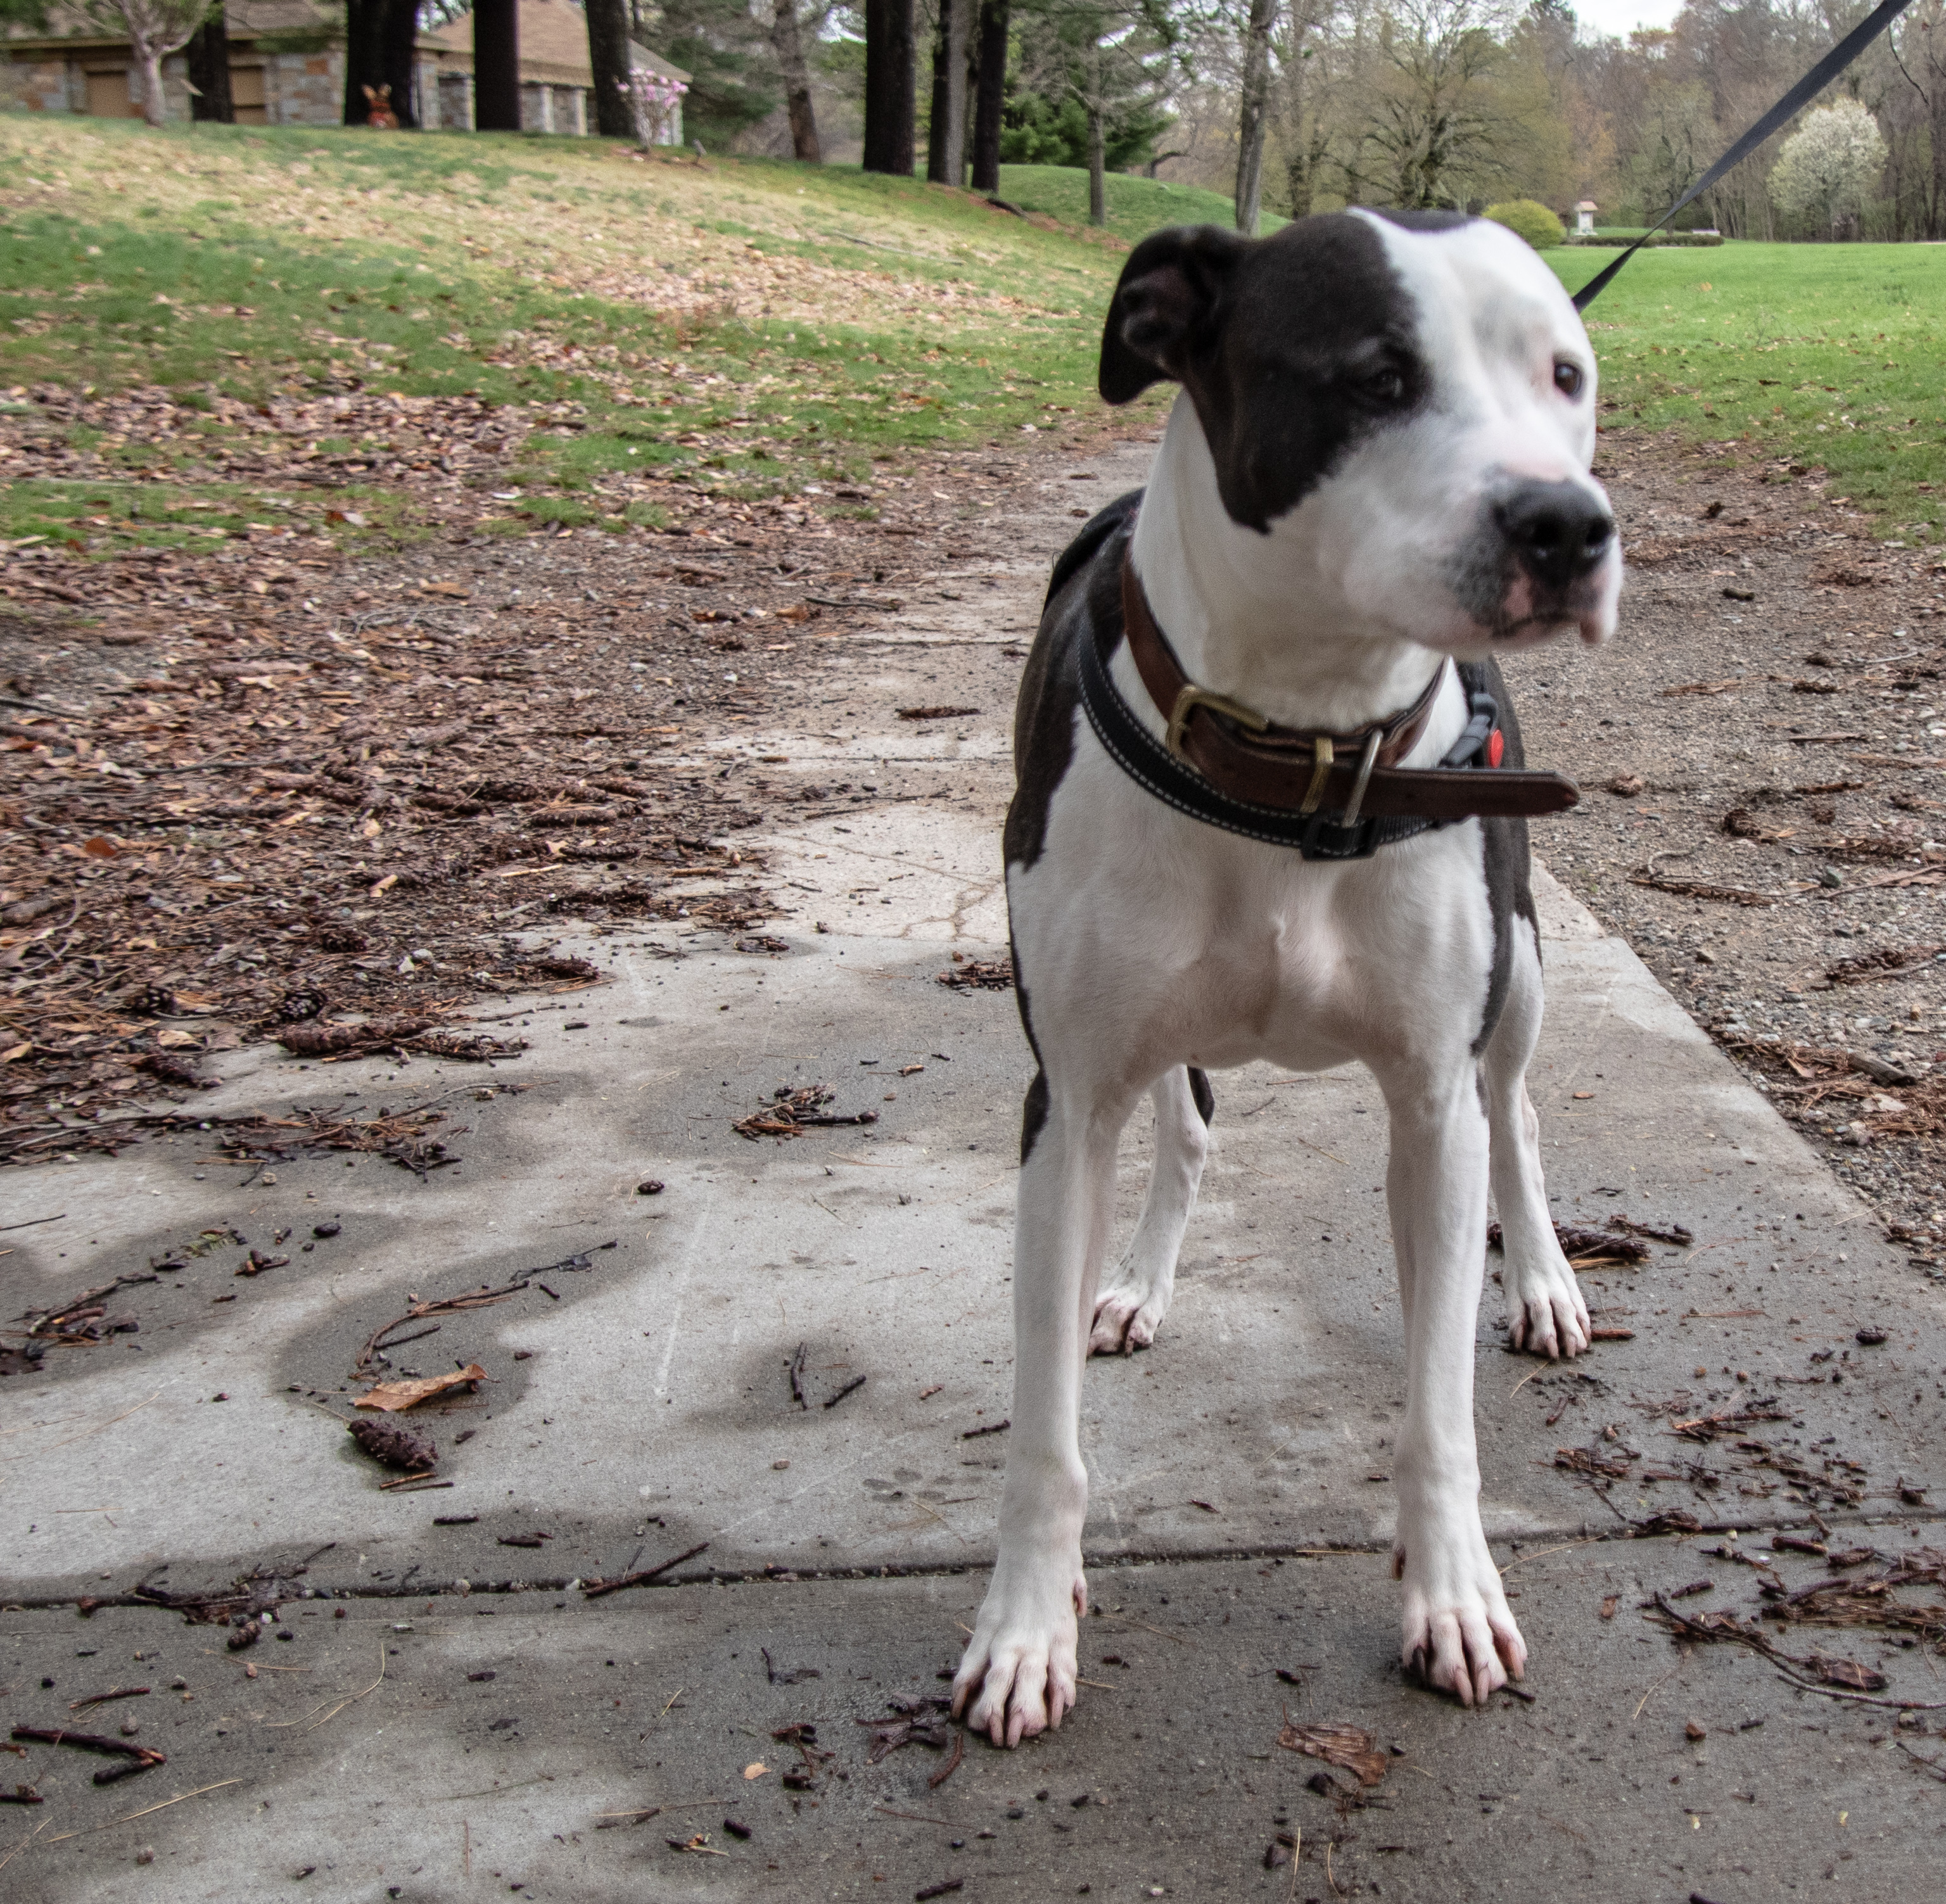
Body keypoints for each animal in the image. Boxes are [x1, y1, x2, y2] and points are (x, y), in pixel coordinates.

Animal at [950, 209, 1623, 1748]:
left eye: (1564, 374)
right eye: (1375, 377)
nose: (1567, 524)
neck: (1302, 752)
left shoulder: (1429, 1102)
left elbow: (1438, 1409)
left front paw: (1451, 1596)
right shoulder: (1063, 1107)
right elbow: (1043, 1434)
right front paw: (1026, 1627)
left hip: (1521, 969)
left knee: (1520, 1114)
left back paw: (1543, 1282)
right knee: (1189, 1130)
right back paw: (1137, 1284)